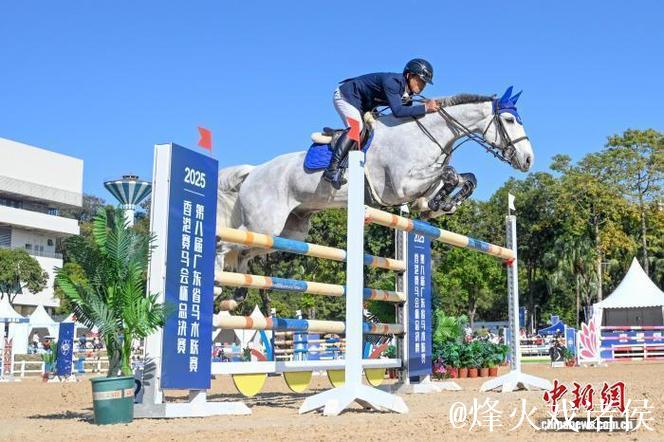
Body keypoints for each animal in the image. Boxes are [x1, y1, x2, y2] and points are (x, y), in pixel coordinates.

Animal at [215, 87, 534, 301]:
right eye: (509, 120)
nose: (528, 160)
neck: (424, 134)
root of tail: (253, 172)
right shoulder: (400, 186)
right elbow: (451, 173)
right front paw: (442, 201)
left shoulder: (416, 187)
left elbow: (463, 179)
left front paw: (443, 203)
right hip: (264, 223)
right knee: (229, 242)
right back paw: (219, 279)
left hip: (288, 233)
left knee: (244, 252)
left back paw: (237, 293)